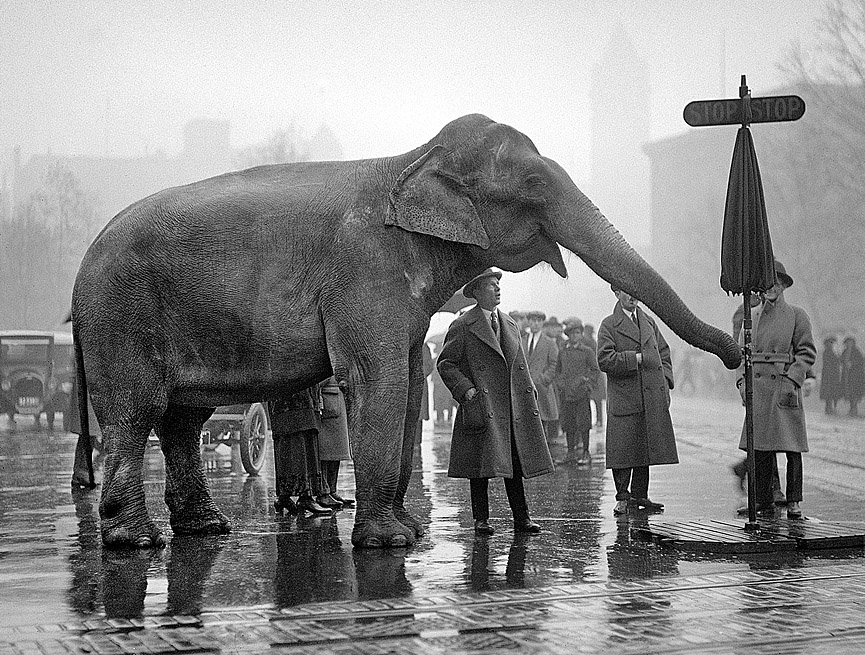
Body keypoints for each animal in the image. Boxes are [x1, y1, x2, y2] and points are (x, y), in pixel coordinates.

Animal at [71, 113, 741, 549]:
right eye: (532, 184)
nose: (737, 352)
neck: (413, 159)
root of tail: (83, 267)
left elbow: (415, 381)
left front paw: (411, 532)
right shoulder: (368, 273)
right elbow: (381, 380)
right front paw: (387, 541)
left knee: (184, 419)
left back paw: (205, 529)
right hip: (121, 319)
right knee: (135, 413)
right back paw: (135, 540)